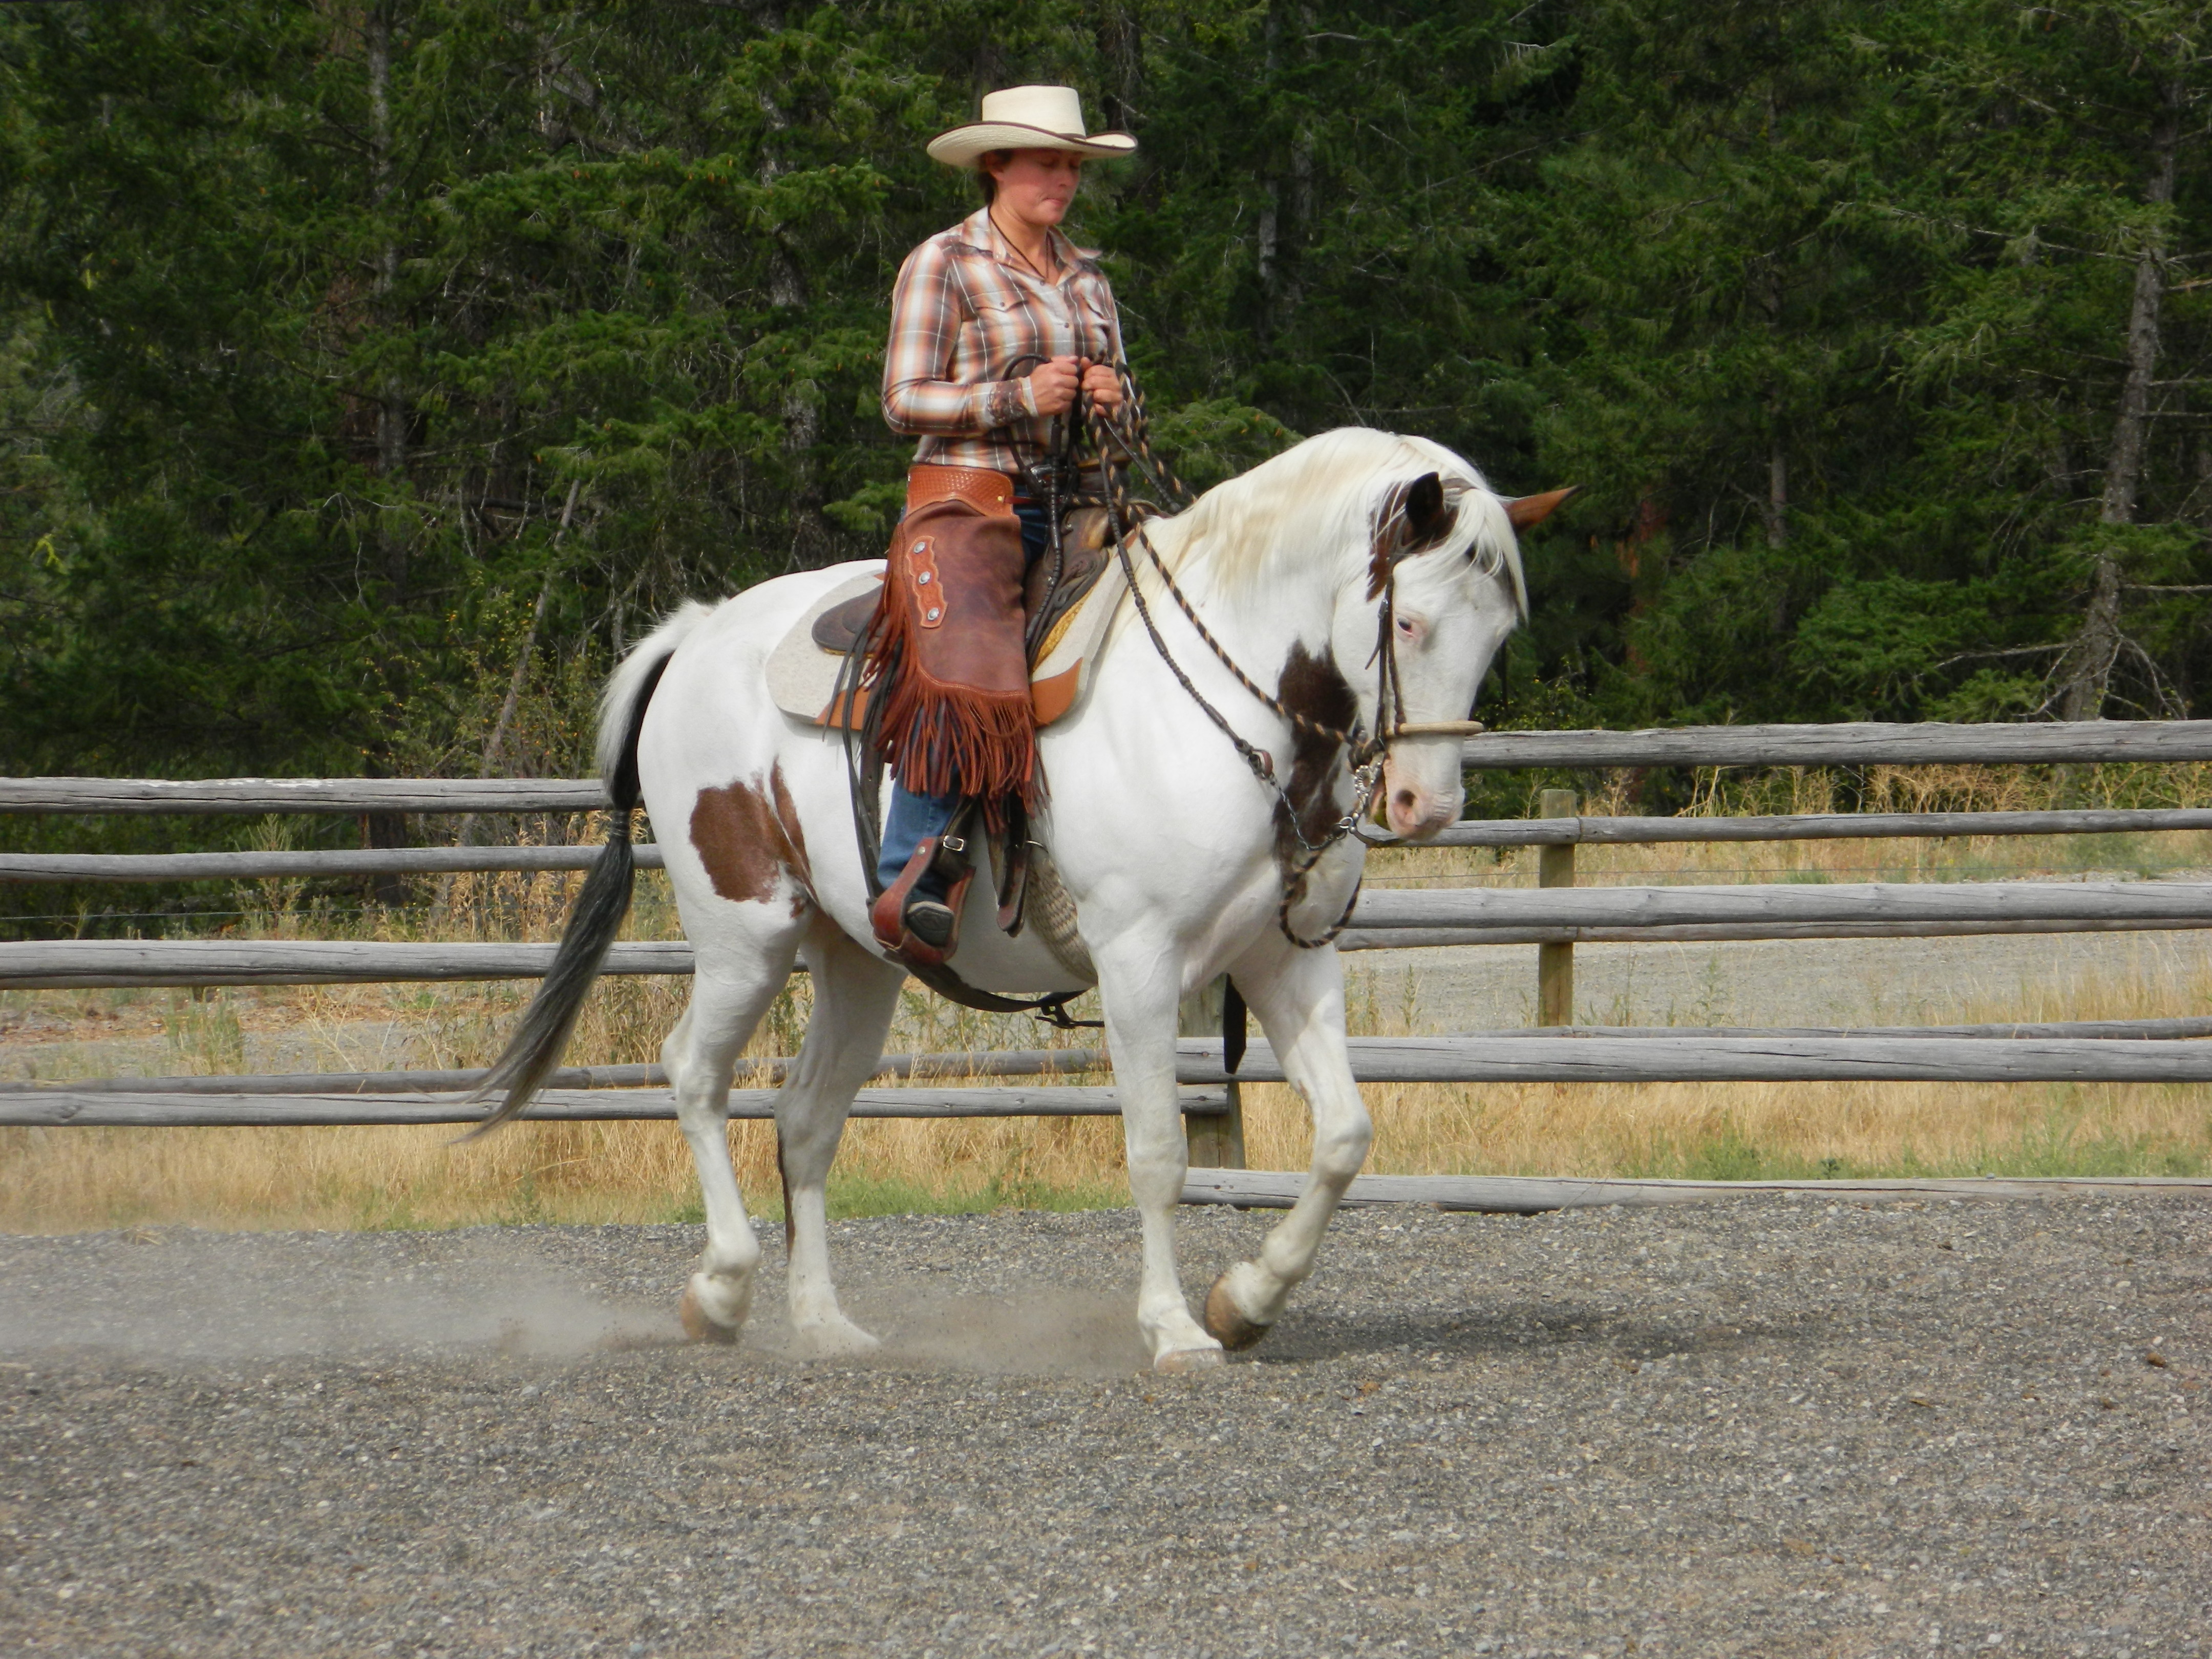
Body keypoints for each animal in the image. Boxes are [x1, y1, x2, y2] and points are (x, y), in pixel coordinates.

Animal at [480, 429, 1575, 1380]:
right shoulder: (1138, 965)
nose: (1427, 806)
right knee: (696, 1077)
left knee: (806, 1120)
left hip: (856, 959)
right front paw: (1176, 1329)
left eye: (1499, 630)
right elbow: (1157, 1151)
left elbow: (1345, 1135)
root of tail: (701, 631)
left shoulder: (1285, 958)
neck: (1232, 714)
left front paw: (1248, 1301)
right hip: (744, 934)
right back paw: (720, 1291)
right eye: (1408, 622)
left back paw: (825, 1324)